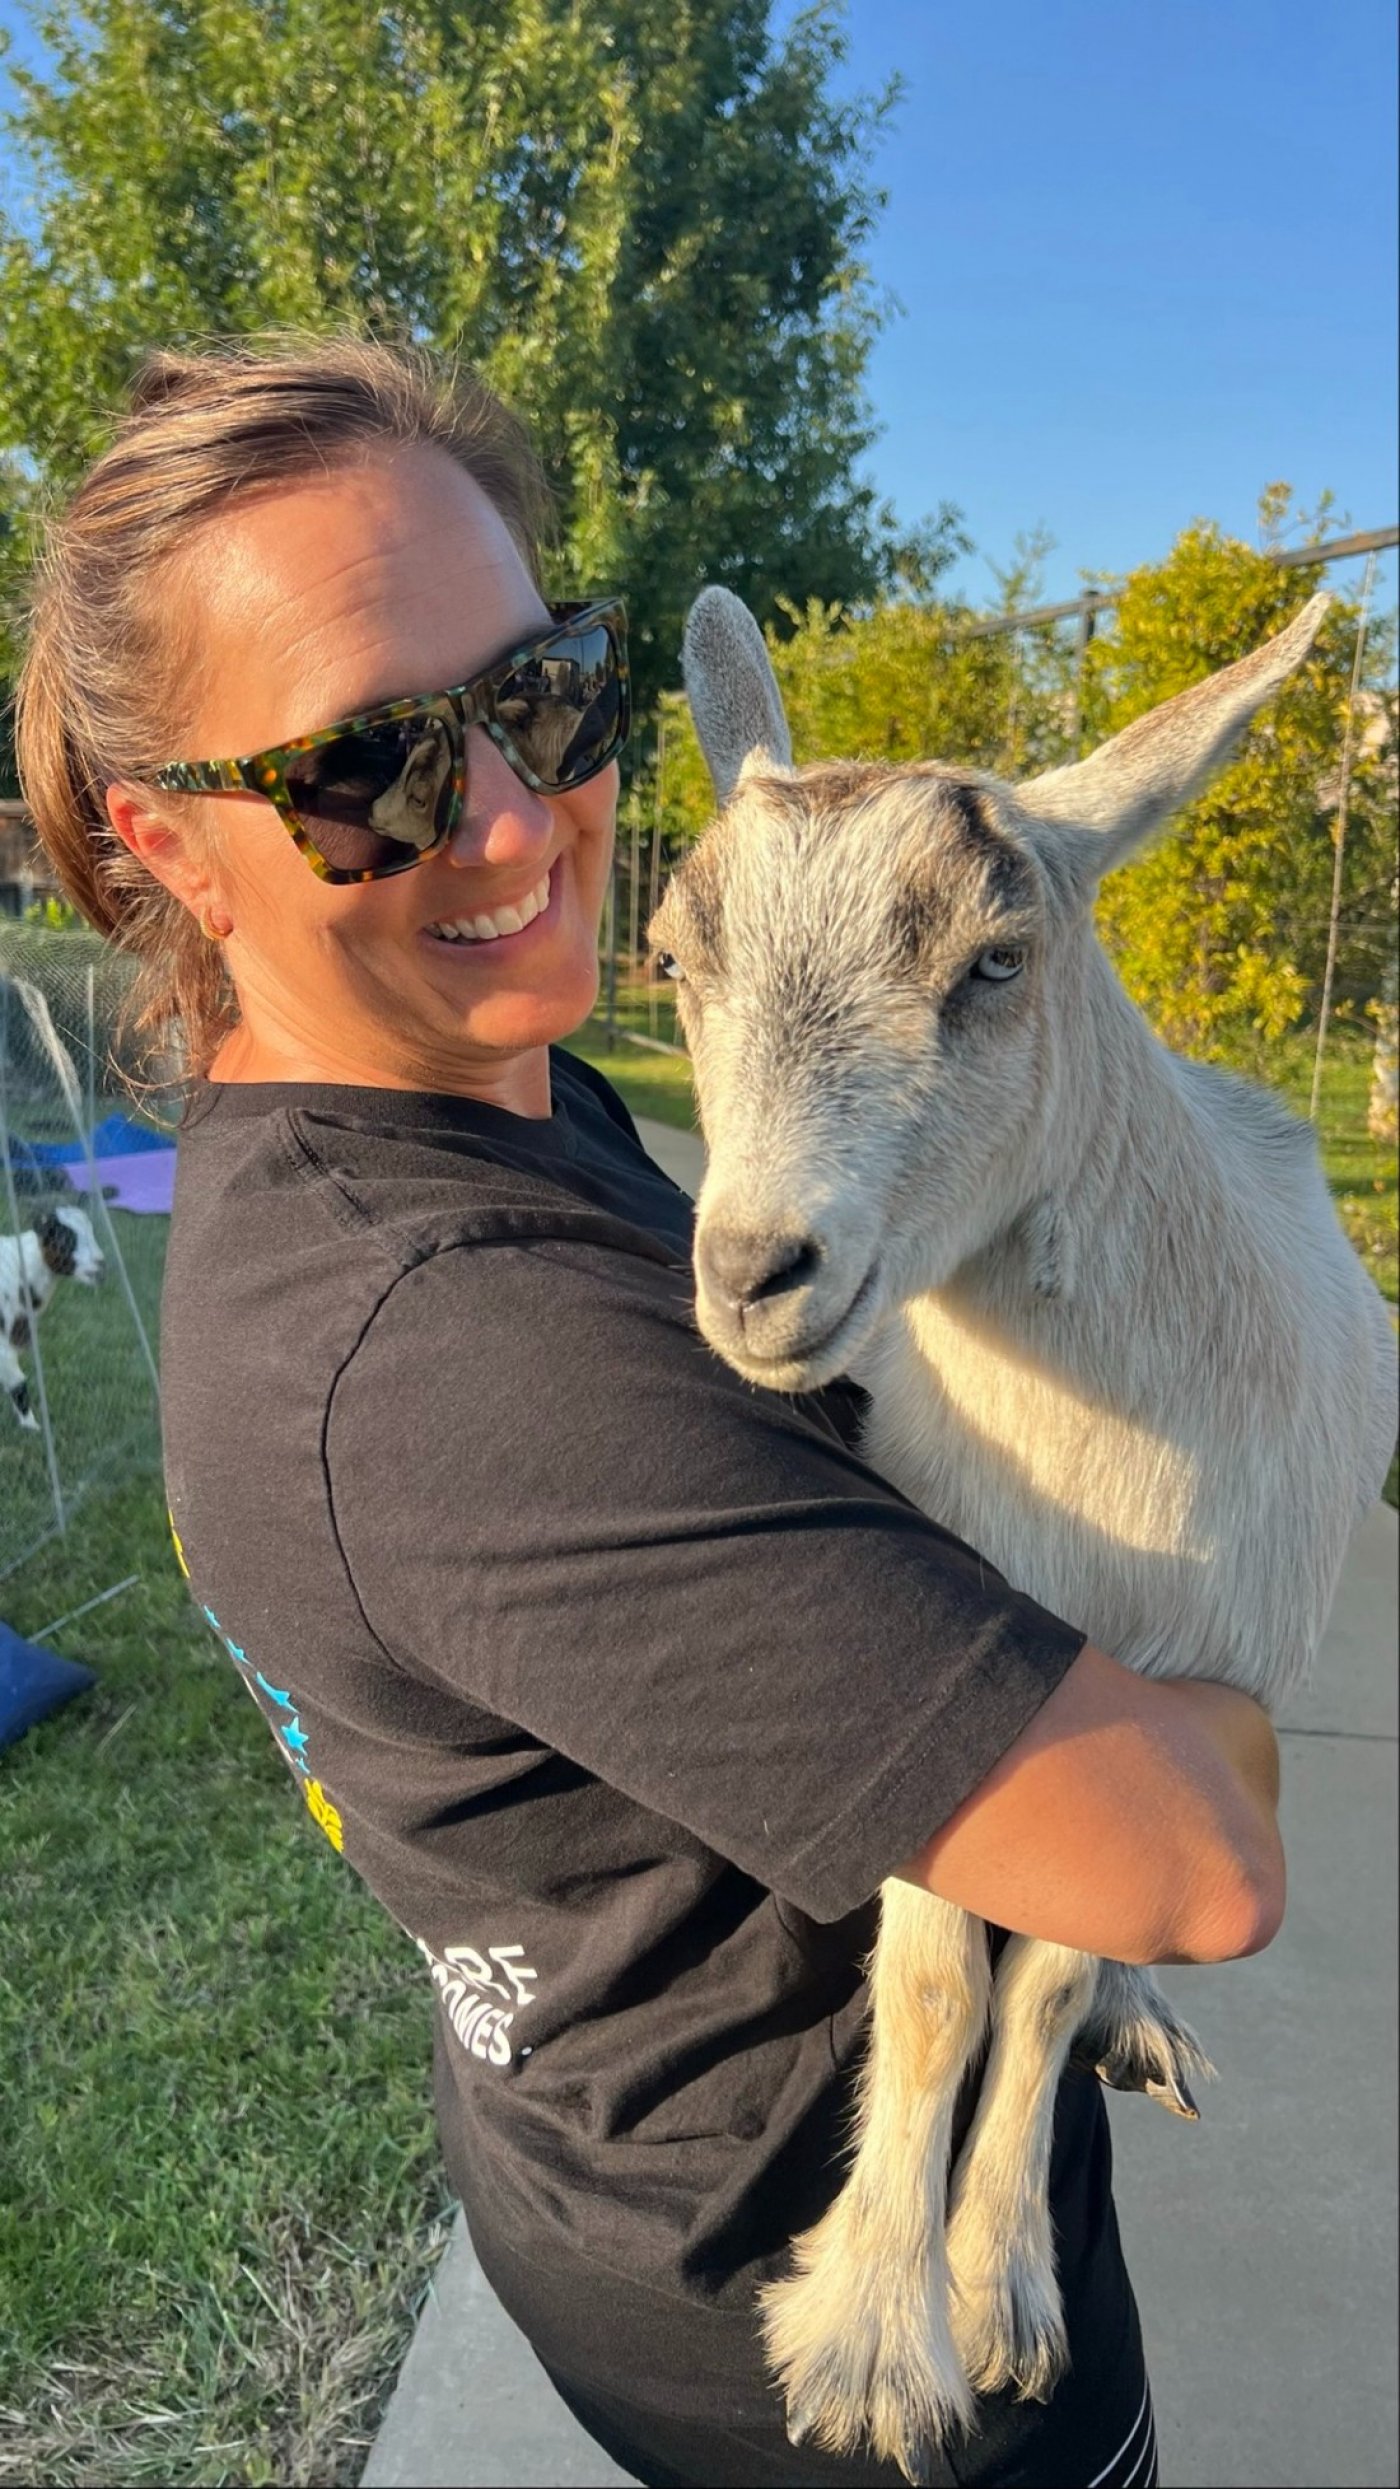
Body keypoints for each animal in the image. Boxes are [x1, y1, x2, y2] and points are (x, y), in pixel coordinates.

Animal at [649, 587, 1398, 2479]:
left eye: (995, 962)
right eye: (675, 962)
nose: (754, 1271)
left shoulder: (1184, 1675)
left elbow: (1046, 1982)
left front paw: (1000, 2294)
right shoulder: (971, 1660)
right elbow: (935, 1982)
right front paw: (873, 2336)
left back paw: (1141, 2022)